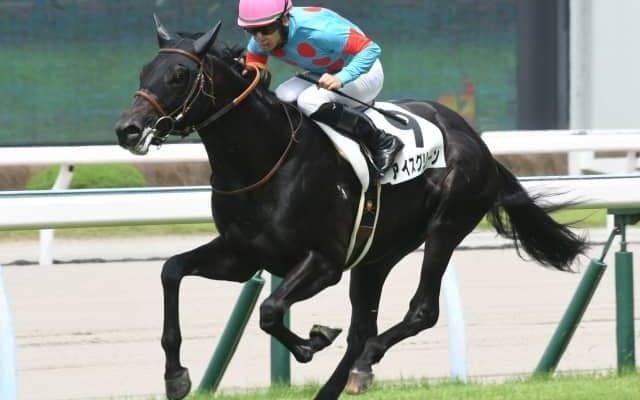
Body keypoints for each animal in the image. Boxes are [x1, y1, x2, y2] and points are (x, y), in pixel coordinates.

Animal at [114, 17, 587, 400]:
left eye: (179, 75)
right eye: (144, 70)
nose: (128, 129)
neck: (265, 159)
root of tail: (477, 141)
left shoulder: (324, 262)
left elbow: (270, 311)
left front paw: (312, 341)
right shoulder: (241, 254)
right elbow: (171, 270)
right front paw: (175, 376)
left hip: (445, 227)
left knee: (417, 313)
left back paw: (366, 361)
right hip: (377, 254)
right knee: (362, 329)